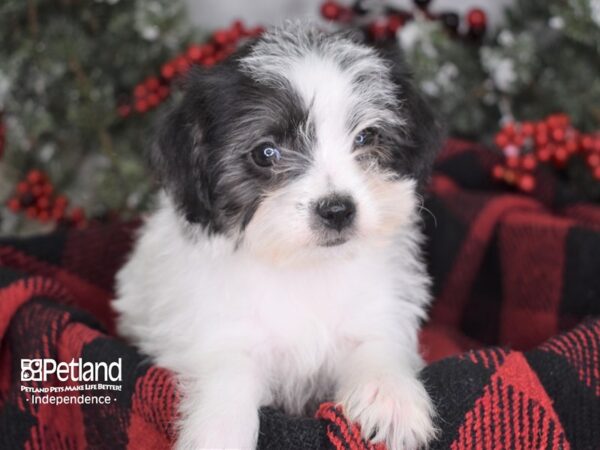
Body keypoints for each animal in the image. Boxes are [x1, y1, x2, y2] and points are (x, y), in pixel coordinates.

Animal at [112, 22, 440, 450]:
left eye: (366, 137)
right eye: (266, 152)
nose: (337, 209)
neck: (303, 266)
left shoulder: (380, 310)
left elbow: (377, 345)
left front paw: (391, 396)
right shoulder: (220, 332)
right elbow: (229, 375)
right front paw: (219, 434)